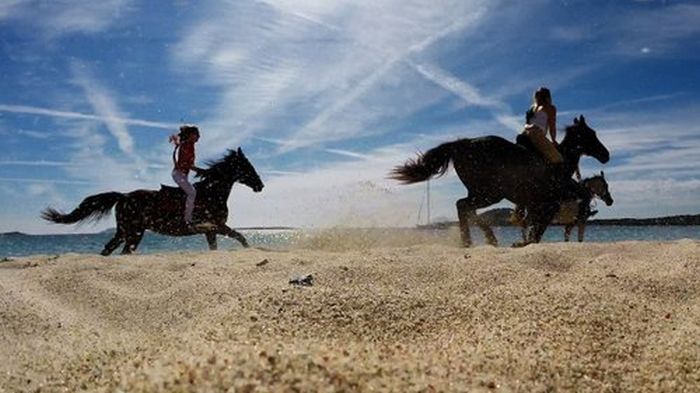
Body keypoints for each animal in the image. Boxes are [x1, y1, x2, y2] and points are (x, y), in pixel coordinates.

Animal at [41, 147, 266, 254]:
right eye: (247, 166)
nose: (260, 186)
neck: (211, 193)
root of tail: (123, 196)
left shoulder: (210, 230)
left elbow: (216, 248)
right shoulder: (216, 225)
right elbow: (240, 237)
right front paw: (250, 249)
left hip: (126, 232)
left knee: (110, 249)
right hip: (133, 232)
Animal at [392, 115, 608, 247]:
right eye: (591, 134)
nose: (606, 155)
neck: (560, 165)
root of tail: (462, 144)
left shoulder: (538, 205)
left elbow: (534, 228)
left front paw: (522, 243)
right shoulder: (549, 204)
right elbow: (538, 230)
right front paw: (522, 243)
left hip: (481, 192)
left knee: (466, 208)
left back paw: (483, 239)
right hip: (490, 193)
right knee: (462, 206)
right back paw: (473, 240)